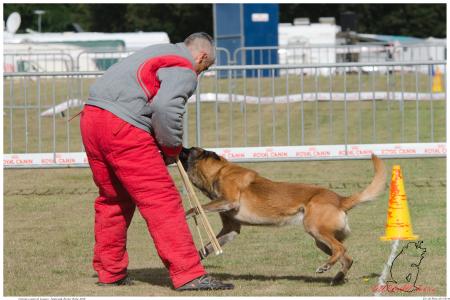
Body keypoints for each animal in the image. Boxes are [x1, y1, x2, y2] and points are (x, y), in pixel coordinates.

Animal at [179, 146, 386, 284]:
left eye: (188, 150)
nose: (178, 146)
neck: (219, 171)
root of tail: (341, 199)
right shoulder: (231, 229)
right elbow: (207, 247)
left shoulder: (228, 200)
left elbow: (196, 208)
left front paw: (185, 214)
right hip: (320, 241)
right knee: (347, 257)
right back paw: (337, 277)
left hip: (315, 229)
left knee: (341, 249)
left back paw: (325, 267)